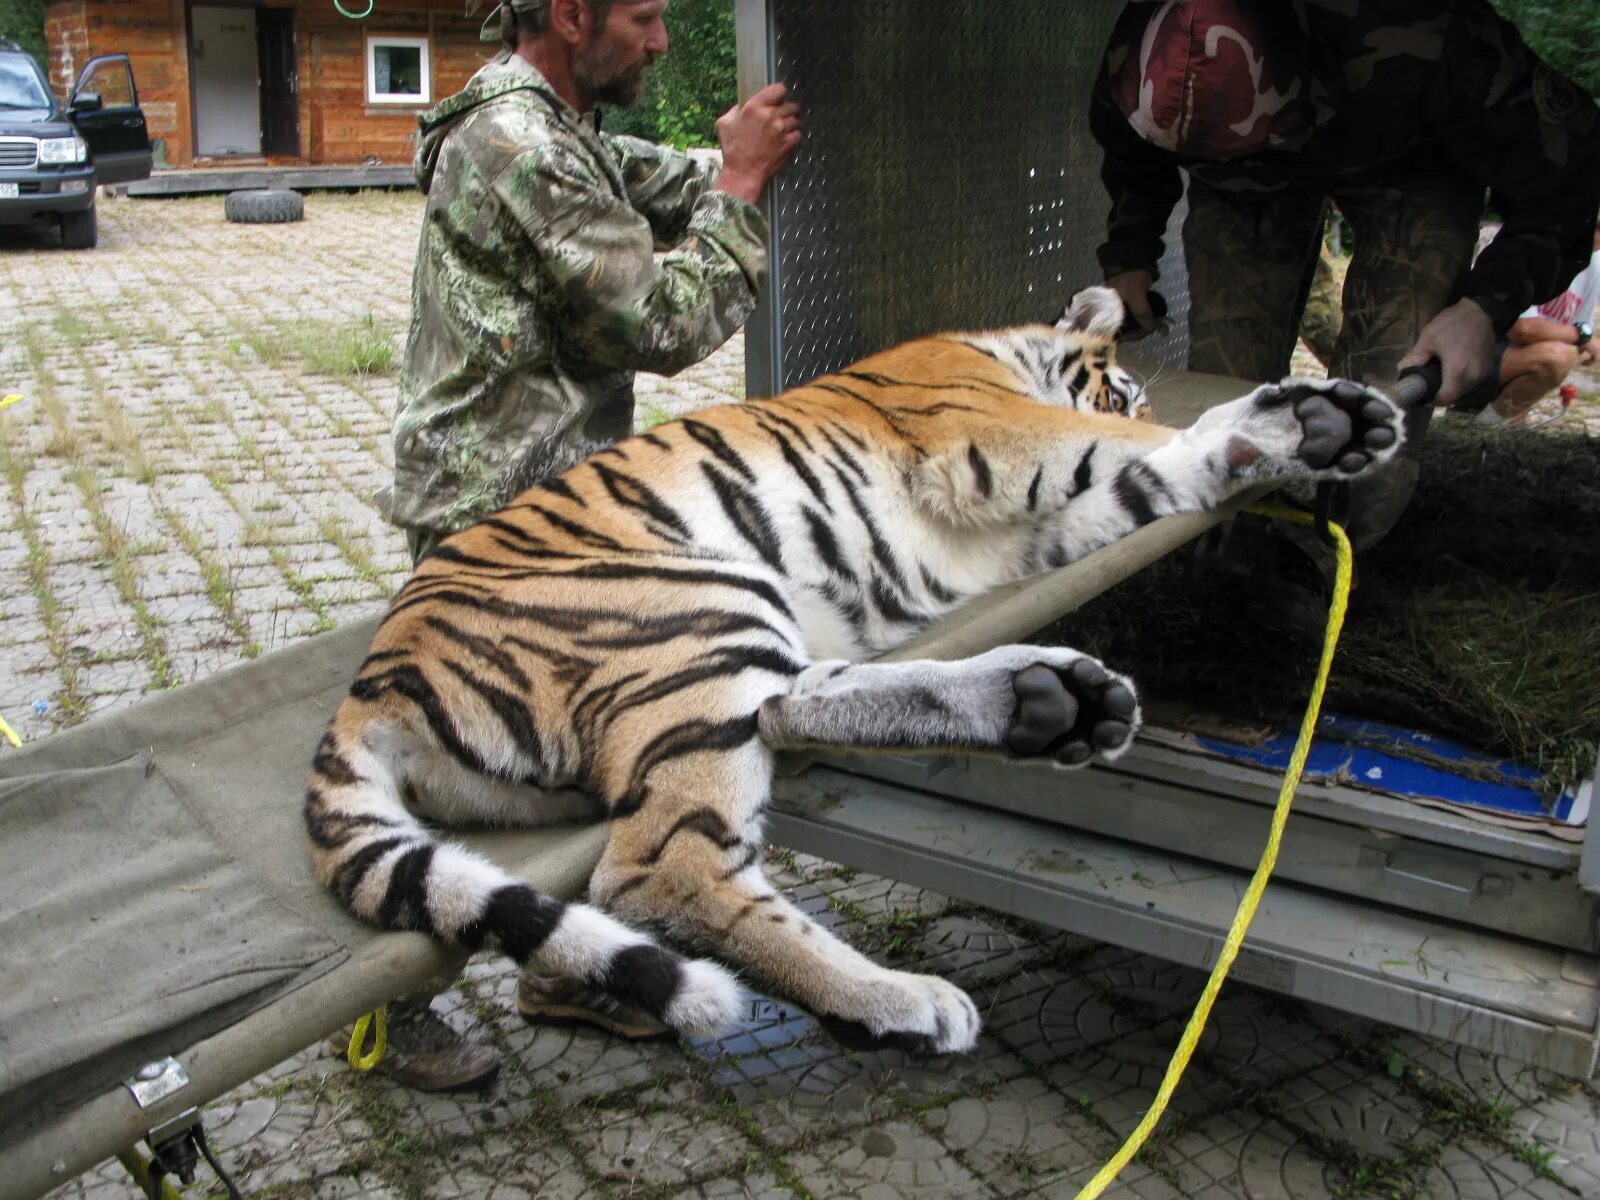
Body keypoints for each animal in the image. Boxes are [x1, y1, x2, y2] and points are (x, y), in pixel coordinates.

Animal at [305, 289, 1408, 1049]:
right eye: (1124, 378)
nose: (1132, 382)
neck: (1002, 346)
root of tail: (368, 687)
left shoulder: (1052, 524)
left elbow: (1152, 474)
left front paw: (1311, 430)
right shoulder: (992, 433)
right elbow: (1142, 440)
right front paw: (1299, 420)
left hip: (724, 645)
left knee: (794, 710)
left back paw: (1051, 702)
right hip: (698, 606)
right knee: (660, 868)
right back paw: (901, 1000)